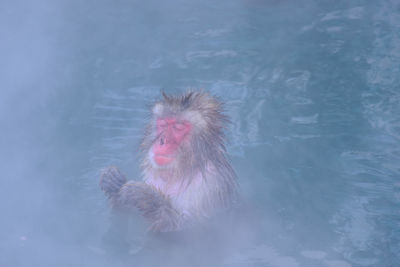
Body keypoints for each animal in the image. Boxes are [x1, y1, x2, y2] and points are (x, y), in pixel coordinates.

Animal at [100, 91, 238, 232]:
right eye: (163, 124)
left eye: (178, 127)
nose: (162, 140)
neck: (181, 172)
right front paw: (113, 181)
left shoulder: (212, 186)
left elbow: (192, 229)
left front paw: (145, 197)